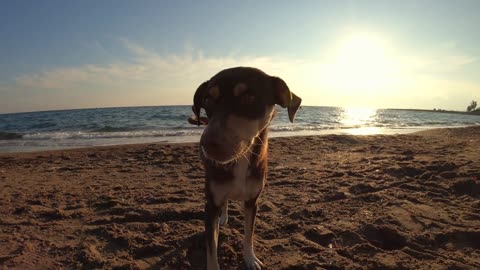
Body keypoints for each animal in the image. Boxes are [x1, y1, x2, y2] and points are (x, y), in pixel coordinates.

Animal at [188, 66, 300, 268]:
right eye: (207, 101)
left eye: (249, 98)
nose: (207, 143)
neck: (240, 160)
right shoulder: (210, 205)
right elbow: (211, 248)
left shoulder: (252, 202)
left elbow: (249, 234)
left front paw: (250, 259)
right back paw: (223, 217)